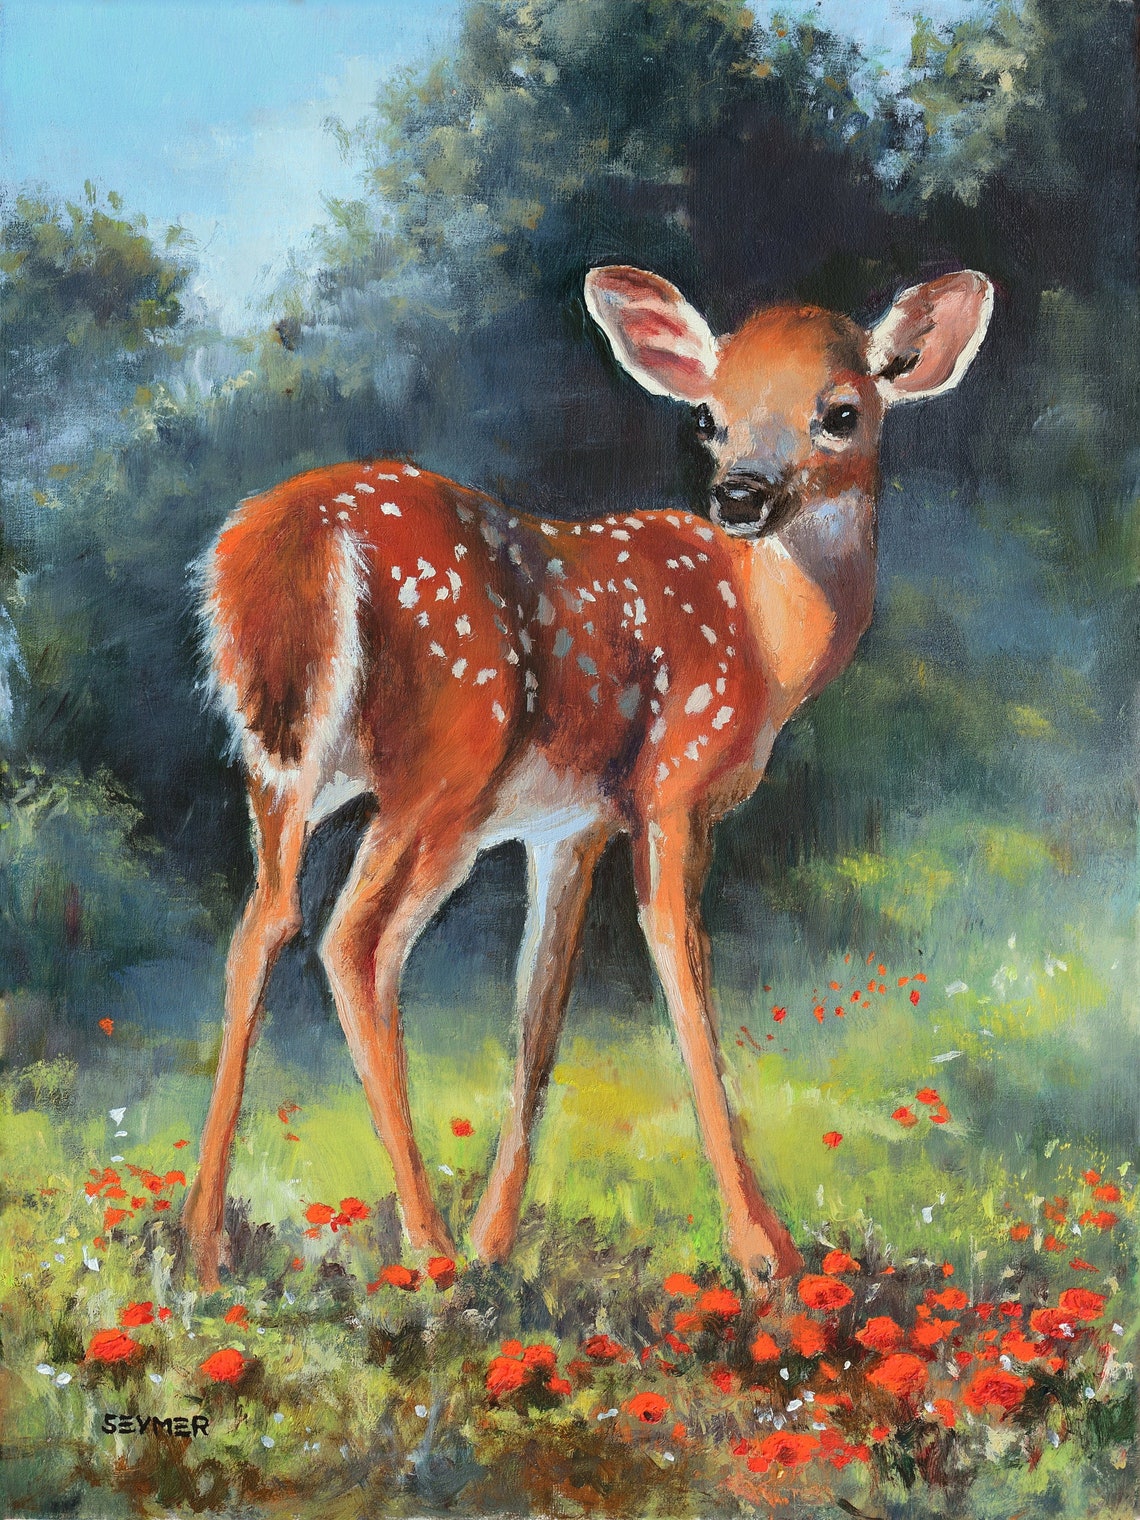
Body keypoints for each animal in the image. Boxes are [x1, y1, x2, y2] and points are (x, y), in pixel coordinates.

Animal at [182, 263, 993, 1292]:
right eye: (709, 417)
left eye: (841, 412)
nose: (739, 495)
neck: (766, 642)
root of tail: (284, 546)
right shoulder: (672, 788)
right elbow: (681, 972)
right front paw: (764, 1251)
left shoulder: (568, 824)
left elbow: (538, 1016)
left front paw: (498, 1238)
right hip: (446, 765)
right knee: (355, 942)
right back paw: (426, 1249)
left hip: (282, 768)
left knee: (262, 924)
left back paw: (207, 1245)